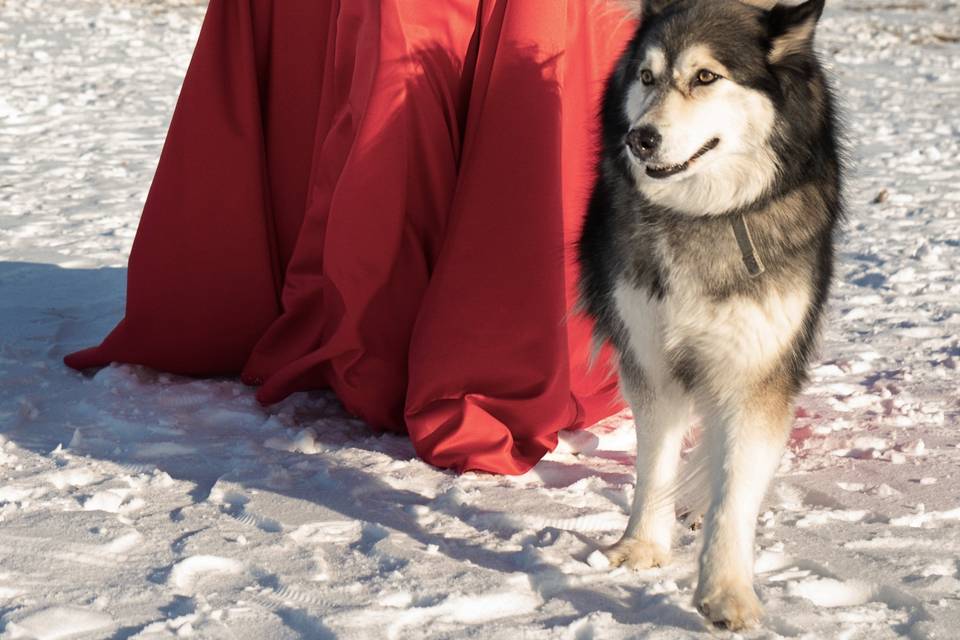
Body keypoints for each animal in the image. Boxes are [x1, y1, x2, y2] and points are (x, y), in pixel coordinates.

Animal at [576, 0, 840, 632]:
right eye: (646, 78)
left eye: (705, 77)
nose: (640, 139)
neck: (703, 214)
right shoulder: (649, 357)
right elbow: (655, 463)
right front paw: (642, 547)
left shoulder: (758, 372)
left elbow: (736, 488)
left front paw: (725, 591)